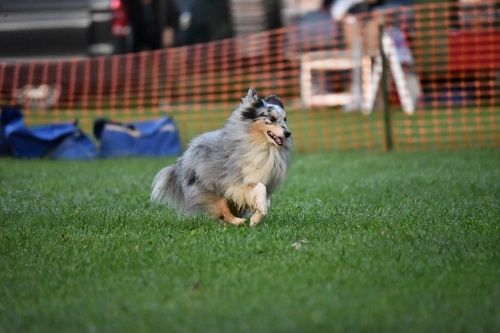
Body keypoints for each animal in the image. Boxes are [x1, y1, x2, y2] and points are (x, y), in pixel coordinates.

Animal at [152, 87, 292, 226]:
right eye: (272, 118)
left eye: (285, 119)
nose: (288, 133)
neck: (262, 145)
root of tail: (183, 161)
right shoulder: (235, 182)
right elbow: (260, 187)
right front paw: (260, 210)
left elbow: (265, 198)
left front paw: (256, 218)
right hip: (211, 187)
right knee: (222, 208)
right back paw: (237, 221)